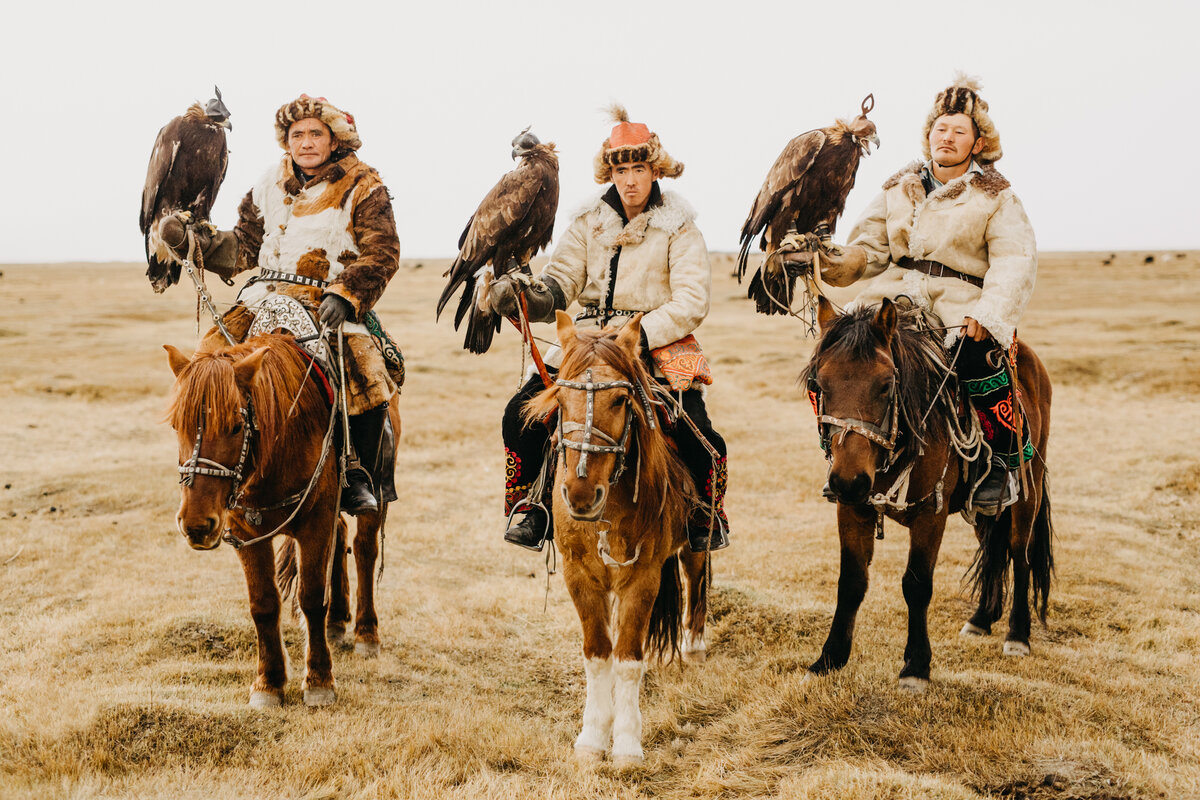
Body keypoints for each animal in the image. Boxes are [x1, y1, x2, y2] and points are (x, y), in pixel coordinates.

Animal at [164, 335, 400, 710]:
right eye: (177, 426)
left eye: (235, 425)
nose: (197, 525)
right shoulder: (246, 532)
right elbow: (262, 604)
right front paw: (268, 683)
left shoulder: (315, 522)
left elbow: (311, 598)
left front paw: (319, 681)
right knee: (340, 539)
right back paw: (337, 622)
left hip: (375, 492)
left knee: (364, 550)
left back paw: (366, 633)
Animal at [525, 309, 710, 767]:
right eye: (559, 401)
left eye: (620, 401)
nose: (580, 494)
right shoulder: (579, 574)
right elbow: (597, 653)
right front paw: (592, 737)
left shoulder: (642, 577)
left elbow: (627, 658)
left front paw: (626, 743)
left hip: (692, 547)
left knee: (696, 580)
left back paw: (694, 646)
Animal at [801, 297, 1056, 690]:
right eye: (820, 384)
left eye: (885, 385)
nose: (848, 481)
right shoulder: (853, 510)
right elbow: (851, 582)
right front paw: (829, 659)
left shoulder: (929, 514)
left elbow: (917, 585)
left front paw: (916, 667)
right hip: (984, 507)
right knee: (994, 548)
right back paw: (982, 619)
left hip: (1028, 490)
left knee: (1019, 552)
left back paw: (1017, 635)